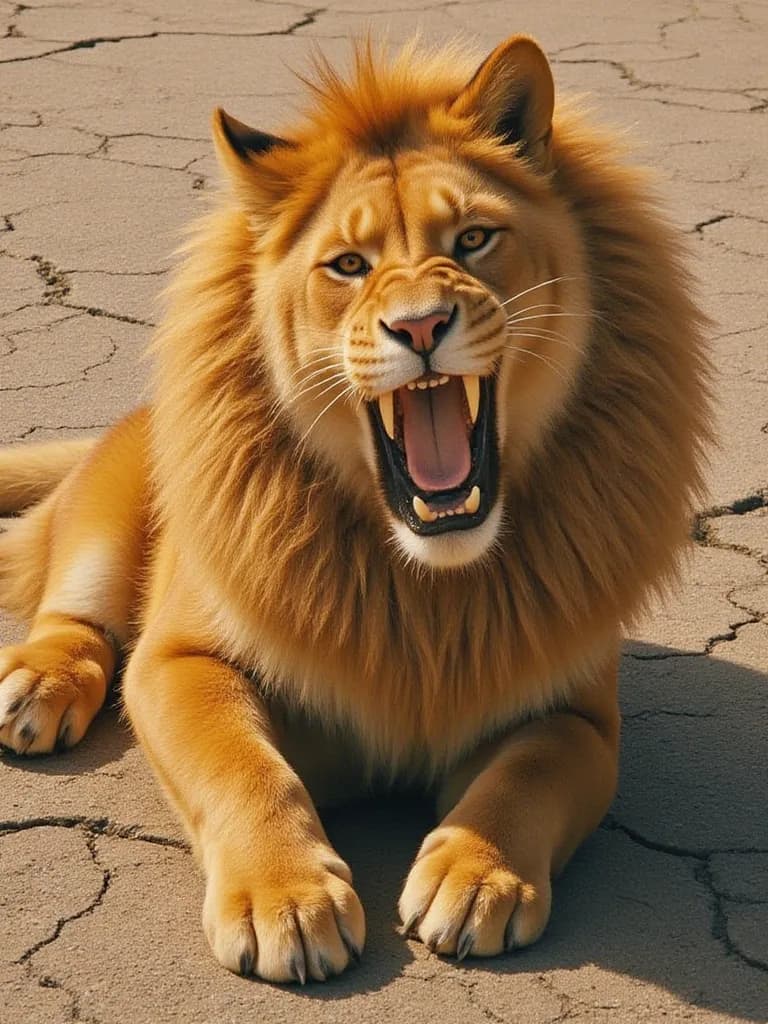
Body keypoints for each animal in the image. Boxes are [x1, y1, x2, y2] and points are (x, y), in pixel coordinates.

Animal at [0, 35, 711, 983]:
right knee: (73, 618)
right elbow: (241, 764)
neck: (422, 580)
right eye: (349, 265)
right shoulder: (179, 659)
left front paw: (477, 877)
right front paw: (287, 899)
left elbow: (532, 770)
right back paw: (39, 689)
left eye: (474, 239)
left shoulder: (579, 713)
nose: (420, 326)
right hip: (109, 517)